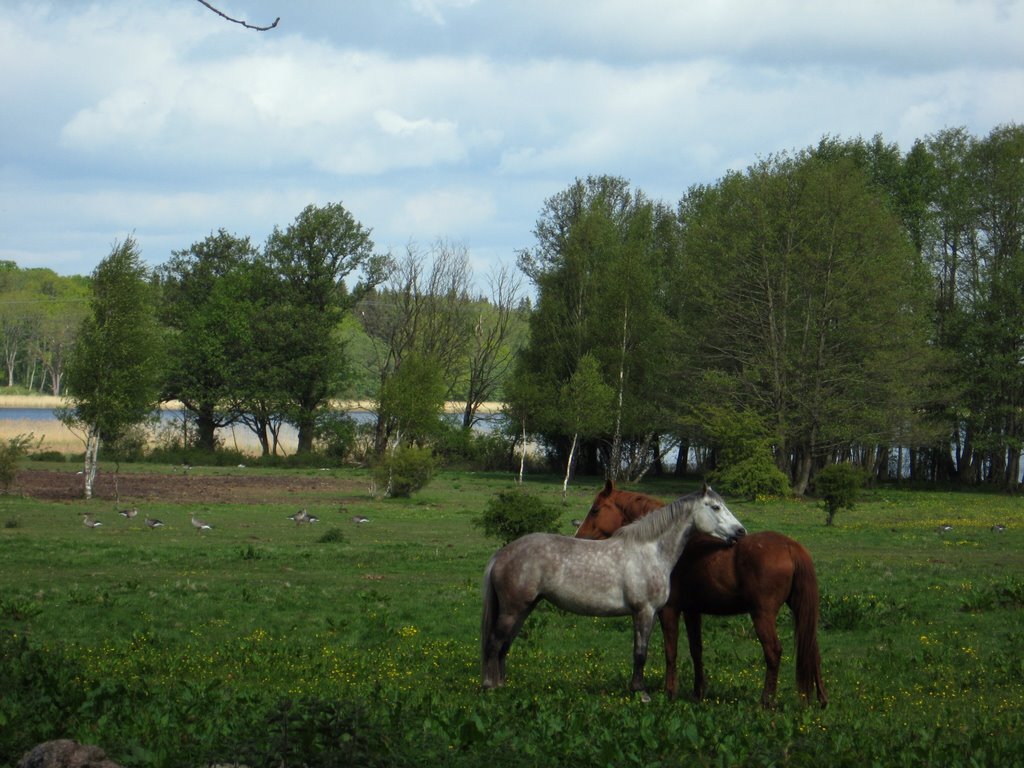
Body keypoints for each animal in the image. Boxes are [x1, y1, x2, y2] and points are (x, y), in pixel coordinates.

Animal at [577, 481, 823, 708]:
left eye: (595, 510)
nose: (580, 536)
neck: (666, 545)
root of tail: (792, 547)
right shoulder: (692, 611)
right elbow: (696, 650)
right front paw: (698, 693)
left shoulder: (669, 611)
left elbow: (671, 651)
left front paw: (670, 692)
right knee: (811, 651)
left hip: (762, 615)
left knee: (773, 652)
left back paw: (766, 702)